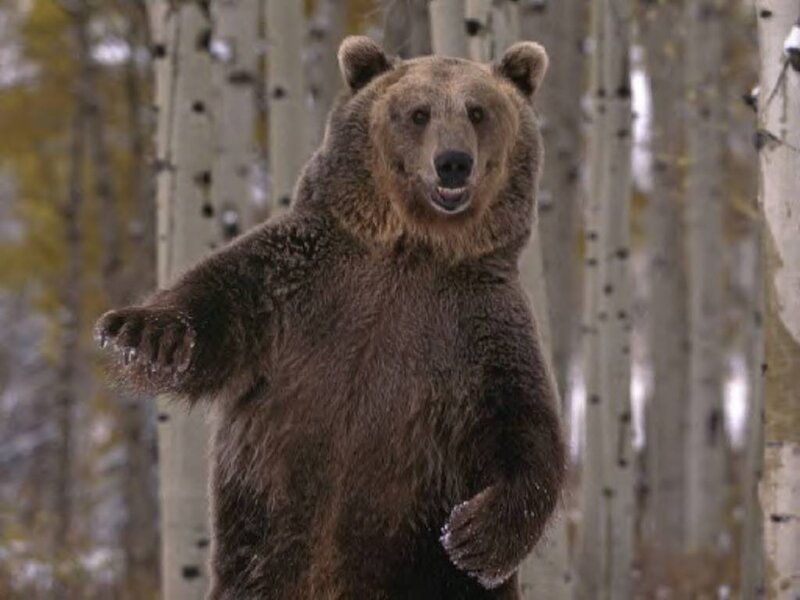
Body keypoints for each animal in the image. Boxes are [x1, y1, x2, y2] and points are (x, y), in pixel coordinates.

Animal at [95, 36, 565, 599]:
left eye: (478, 111)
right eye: (419, 112)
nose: (453, 162)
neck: (413, 250)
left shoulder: (477, 329)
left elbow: (525, 427)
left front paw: (475, 536)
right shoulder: (299, 283)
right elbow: (218, 301)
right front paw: (144, 334)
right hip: (261, 557)